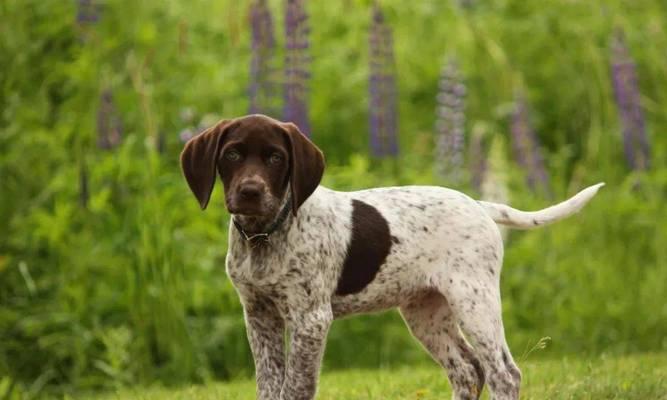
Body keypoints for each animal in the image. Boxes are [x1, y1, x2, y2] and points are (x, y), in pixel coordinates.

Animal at [181, 114, 604, 398]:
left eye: (275, 158)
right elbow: (269, 385)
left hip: (474, 300)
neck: (266, 234)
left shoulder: (310, 320)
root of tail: (479, 205)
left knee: (504, 372)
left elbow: (296, 387)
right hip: (425, 311)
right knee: (467, 370)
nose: (250, 192)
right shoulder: (259, 316)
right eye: (232, 155)